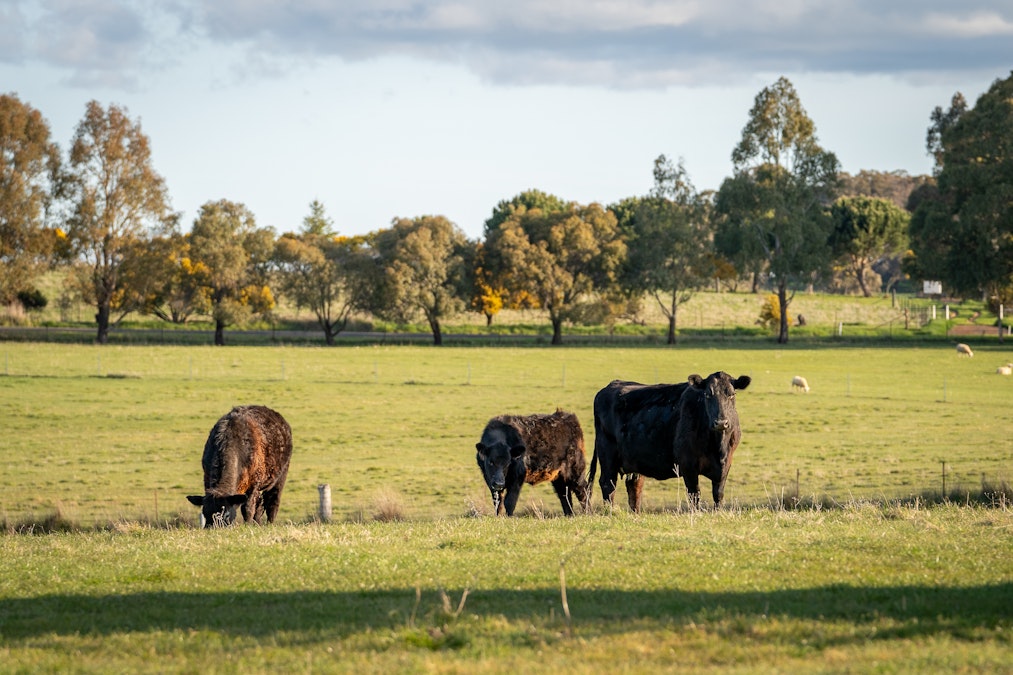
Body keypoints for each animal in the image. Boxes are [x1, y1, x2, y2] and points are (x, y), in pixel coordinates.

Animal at [591, 370, 749, 506]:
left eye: (732, 394)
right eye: (707, 395)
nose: (721, 422)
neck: (718, 447)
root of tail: (611, 385)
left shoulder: (725, 465)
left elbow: (718, 494)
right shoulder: (687, 465)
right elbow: (694, 495)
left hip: (633, 460)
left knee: (633, 486)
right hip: (607, 455)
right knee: (608, 484)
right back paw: (610, 512)